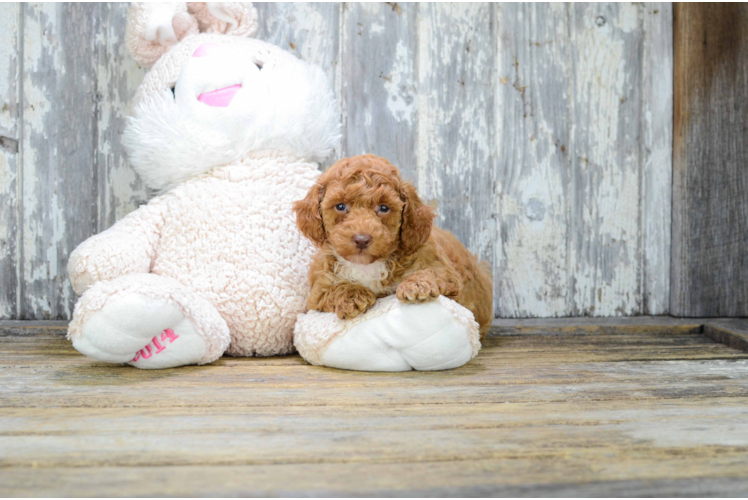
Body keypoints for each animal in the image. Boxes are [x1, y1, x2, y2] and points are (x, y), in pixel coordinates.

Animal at [294, 154, 496, 338]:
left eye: (383, 208)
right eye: (341, 206)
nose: (362, 239)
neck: (368, 265)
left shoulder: (445, 272)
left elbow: (431, 271)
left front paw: (416, 285)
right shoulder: (318, 290)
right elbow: (333, 288)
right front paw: (352, 296)